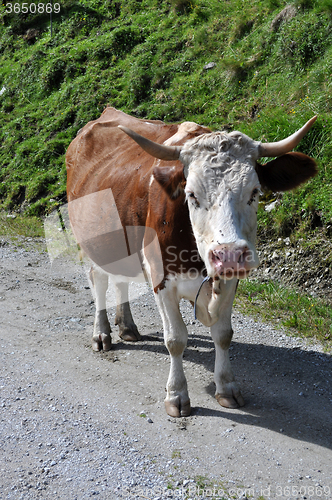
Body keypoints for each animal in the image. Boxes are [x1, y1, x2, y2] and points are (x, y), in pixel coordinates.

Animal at [65, 107, 316, 416]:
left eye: (255, 193)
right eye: (192, 195)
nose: (229, 254)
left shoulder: (228, 281)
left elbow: (223, 334)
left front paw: (227, 388)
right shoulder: (161, 277)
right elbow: (175, 339)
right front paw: (176, 395)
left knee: (121, 280)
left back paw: (127, 327)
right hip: (92, 242)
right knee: (99, 281)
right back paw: (101, 334)